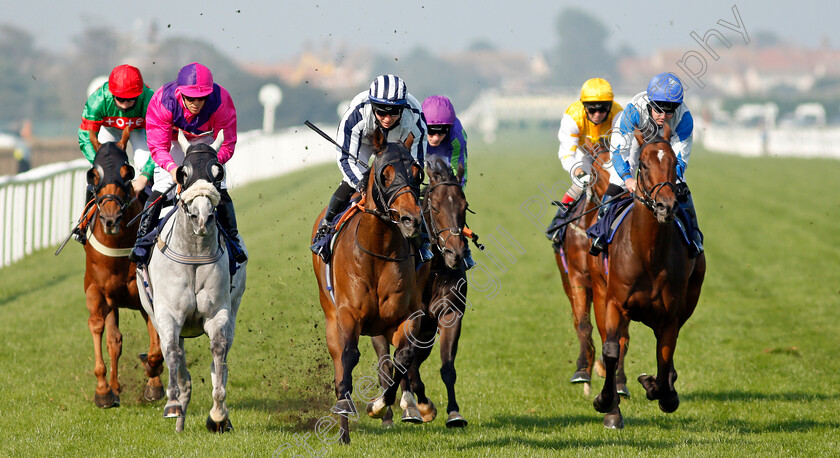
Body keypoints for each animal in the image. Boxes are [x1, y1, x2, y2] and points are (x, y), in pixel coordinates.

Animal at [83, 128, 164, 408]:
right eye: (94, 175)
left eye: (126, 173)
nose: (111, 218)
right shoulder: (96, 290)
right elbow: (99, 328)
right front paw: (103, 390)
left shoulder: (147, 292)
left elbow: (156, 344)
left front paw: (153, 378)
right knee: (114, 340)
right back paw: (115, 387)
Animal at [310, 127, 426, 442]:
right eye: (385, 174)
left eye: (417, 172)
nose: (411, 220)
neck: (378, 249)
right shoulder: (348, 314)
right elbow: (349, 358)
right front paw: (345, 414)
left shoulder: (407, 315)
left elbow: (402, 359)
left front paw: (381, 405)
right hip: (331, 317)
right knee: (340, 362)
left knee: (388, 362)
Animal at [372, 158, 472, 430]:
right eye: (435, 206)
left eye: (464, 206)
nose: (456, 253)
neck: (433, 270)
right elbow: (400, 365)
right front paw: (414, 407)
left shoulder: (449, 314)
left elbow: (446, 366)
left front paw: (453, 413)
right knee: (386, 365)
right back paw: (392, 413)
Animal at [556, 140, 628, 398]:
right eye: (597, 170)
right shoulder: (578, 279)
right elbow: (584, 325)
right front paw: (582, 372)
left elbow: (619, 336)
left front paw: (615, 379)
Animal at [592, 123, 708, 428]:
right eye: (643, 165)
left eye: (674, 163)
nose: (666, 206)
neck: (648, 254)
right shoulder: (615, 302)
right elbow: (611, 350)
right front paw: (604, 401)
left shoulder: (670, 315)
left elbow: (665, 356)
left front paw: (661, 390)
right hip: (599, 292)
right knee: (614, 344)